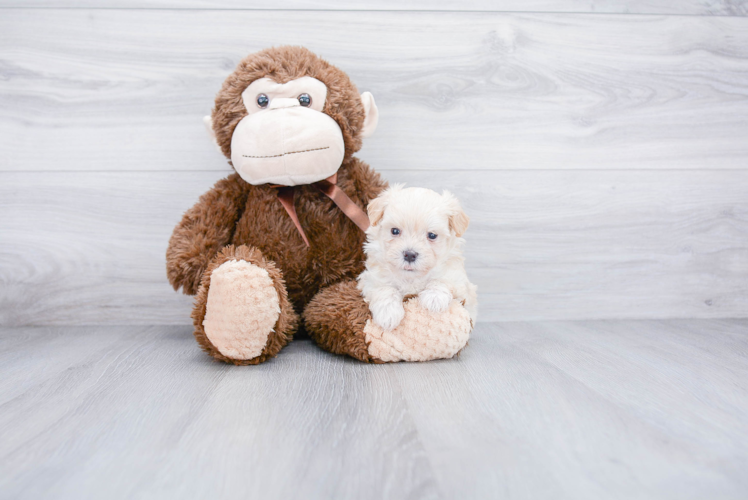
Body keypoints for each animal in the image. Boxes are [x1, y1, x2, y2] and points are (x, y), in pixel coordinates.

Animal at [358, 186, 480, 330]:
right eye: (394, 231)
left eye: (432, 235)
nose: (410, 255)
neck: (411, 278)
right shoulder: (370, 279)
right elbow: (384, 288)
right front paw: (388, 313)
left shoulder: (460, 281)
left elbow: (443, 279)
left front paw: (434, 298)